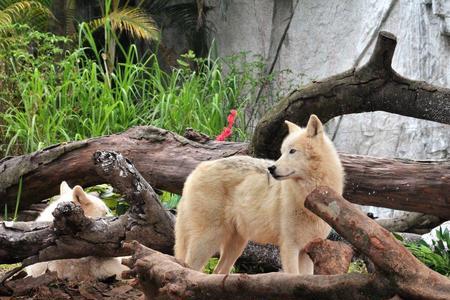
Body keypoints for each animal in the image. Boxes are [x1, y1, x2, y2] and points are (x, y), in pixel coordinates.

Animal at [175, 114, 344, 274]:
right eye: (282, 152)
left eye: (292, 151)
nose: (271, 168)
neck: (306, 194)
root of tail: (196, 170)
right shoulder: (290, 246)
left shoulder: (307, 250)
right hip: (208, 240)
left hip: (237, 244)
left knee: (218, 272)